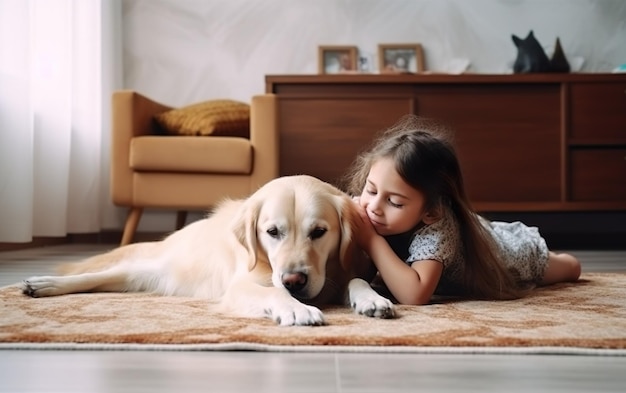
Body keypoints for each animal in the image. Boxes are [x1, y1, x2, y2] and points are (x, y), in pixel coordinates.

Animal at [24, 175, 394, 324]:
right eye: (272, 232)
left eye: (319, 232)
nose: (295, 281)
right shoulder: (243, 284)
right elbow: (273, 293)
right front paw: (295, 309)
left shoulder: (342, 271)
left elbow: (357, 280)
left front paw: (373, 300)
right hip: (147, 268)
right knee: (94, 274)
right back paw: (43, 284)